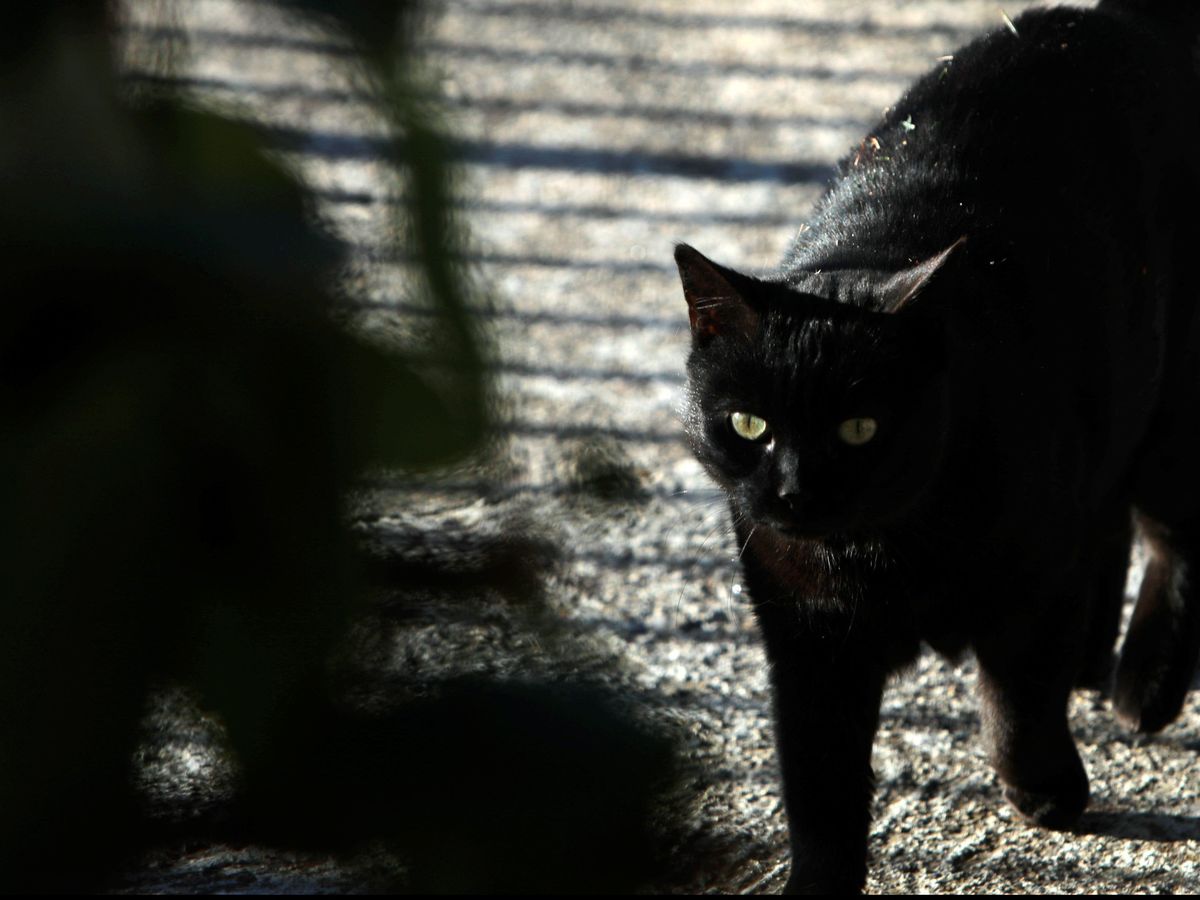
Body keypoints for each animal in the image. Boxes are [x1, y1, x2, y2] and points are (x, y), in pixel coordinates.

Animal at [681, 1, 1200, 897]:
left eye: (861, 428)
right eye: (749, 425)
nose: (794, 491)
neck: (881, 554)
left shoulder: (1032, 581)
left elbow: (1018, 697)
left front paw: (1045, 789)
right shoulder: (805, 639)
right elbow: (818, 785)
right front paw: (819, 882)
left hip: (1177, 398)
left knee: (1172, 532)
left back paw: (1145, 685)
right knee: (1108, 524)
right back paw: (1096, 659)